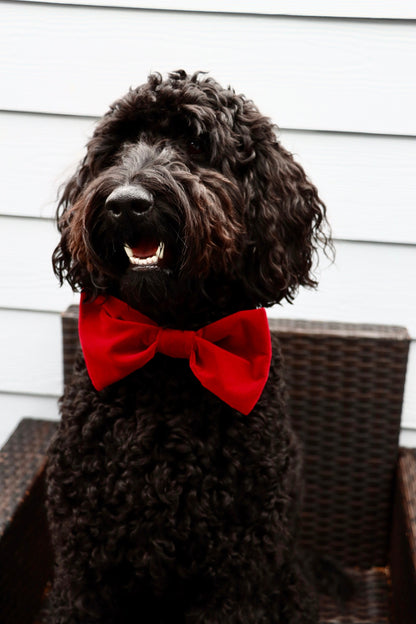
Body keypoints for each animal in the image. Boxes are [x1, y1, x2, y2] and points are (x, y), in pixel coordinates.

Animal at [45, 70, 332, 620]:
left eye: (197, 145)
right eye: (119, 147)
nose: (126, 203)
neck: (170, 345)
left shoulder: (239, 573)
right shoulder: (83, 562)